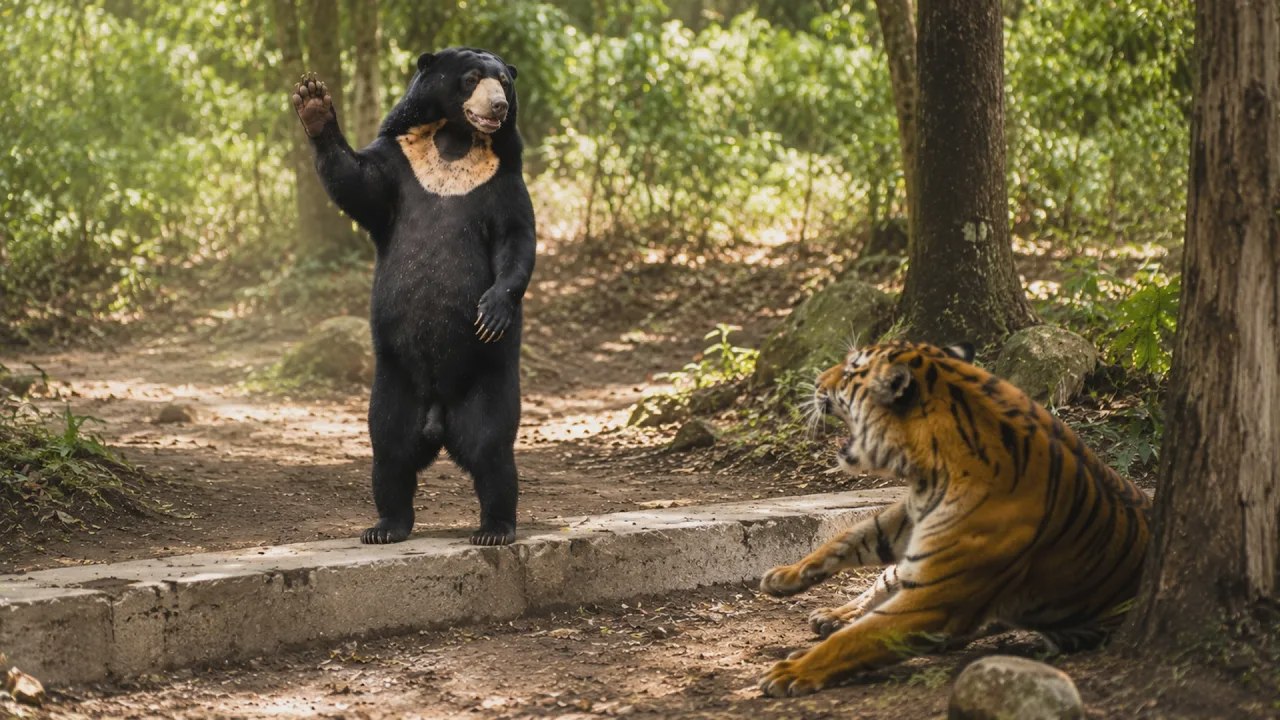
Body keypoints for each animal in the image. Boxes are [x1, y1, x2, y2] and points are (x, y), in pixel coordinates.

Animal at [757, 340, 1151, 697]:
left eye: (851, 370)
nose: (817, 380)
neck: (930, 471)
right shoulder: (913, 516)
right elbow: (852, 536)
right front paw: (785, 576)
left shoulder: (936, 598)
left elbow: (856, 639)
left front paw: (791, 671)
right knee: (885, 580)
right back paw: (833, 615)